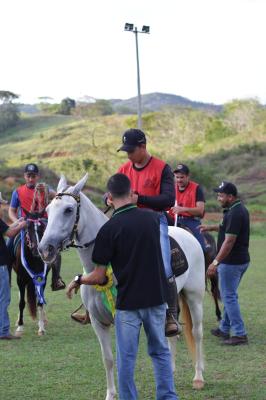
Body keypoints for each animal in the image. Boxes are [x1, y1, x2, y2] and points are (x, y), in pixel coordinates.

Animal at [38, 175, 205, 400]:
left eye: (68, 210)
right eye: (48, 210)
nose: (44, 249)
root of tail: (188, 235)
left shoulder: (123, 320)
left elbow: (125, 359)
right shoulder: (99, 323)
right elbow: (108, 359)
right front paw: (110, 394)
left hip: (194, 297)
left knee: (196, 333)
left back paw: (198, 378)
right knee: (172, 335)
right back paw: (170, 372)